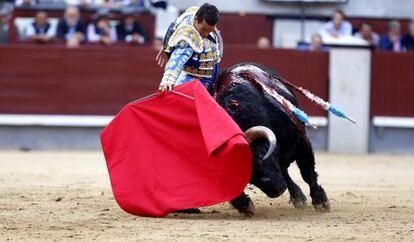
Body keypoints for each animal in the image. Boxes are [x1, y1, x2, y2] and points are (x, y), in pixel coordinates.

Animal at [213, 62, 330, 216]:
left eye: (260, 157)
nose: (277, 190)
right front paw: (245, 206)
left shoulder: (302, 143)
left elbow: (307, 172)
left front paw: (321, 202)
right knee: (284, 171)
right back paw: (298, 197)